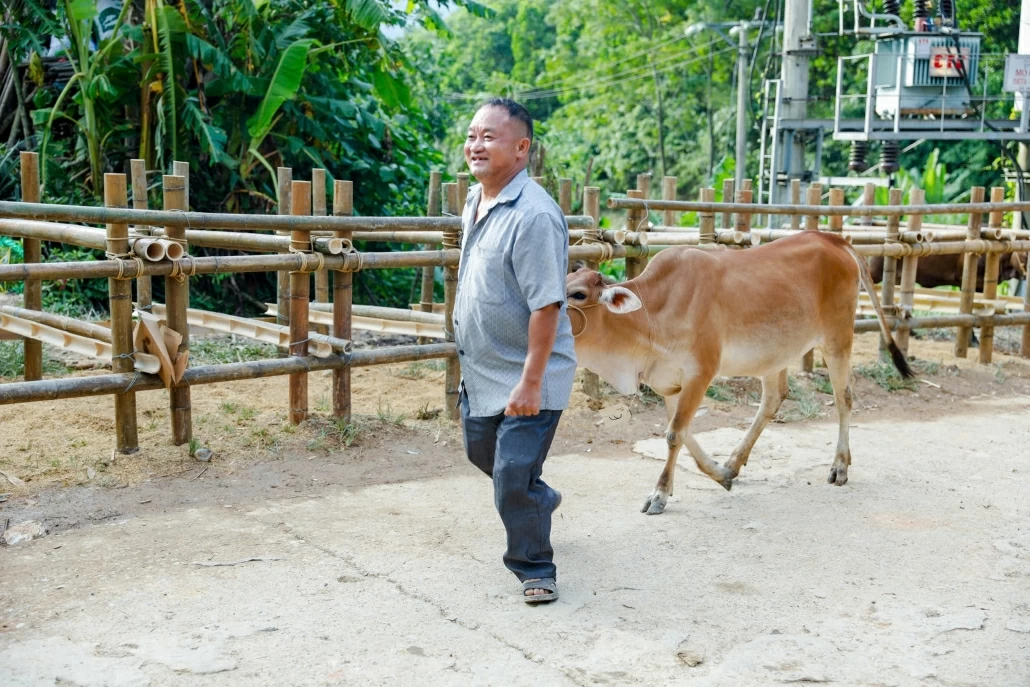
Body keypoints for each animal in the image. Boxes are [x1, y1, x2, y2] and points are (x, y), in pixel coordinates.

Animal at [568, 232, 914, 514]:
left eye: (578, 294)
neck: (652, 312)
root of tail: (833, 238)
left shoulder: (701, 372)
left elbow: (674, 434)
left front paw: (660, 494)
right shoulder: (669, 383)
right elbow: (682, 433)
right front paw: (719, 474)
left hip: (837, 339)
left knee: (844, 397)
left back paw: (840, 466)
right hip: (775, 353)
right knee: (774, 398)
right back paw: (734, 464)